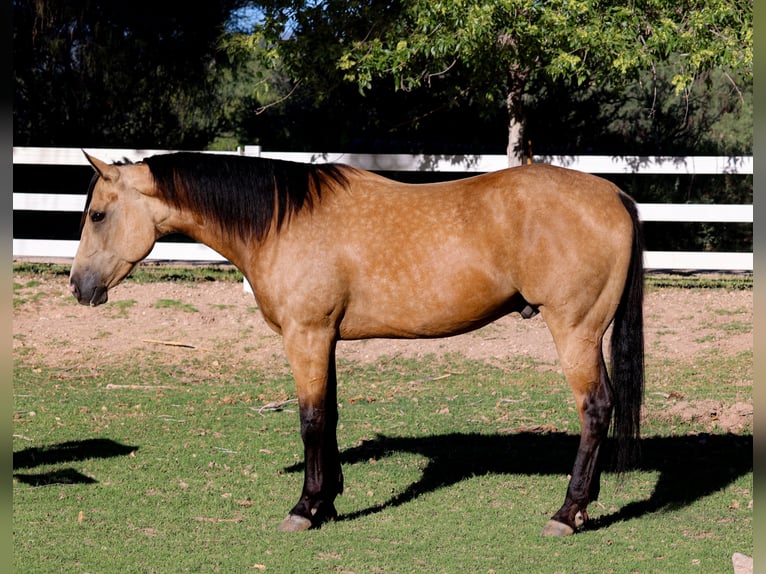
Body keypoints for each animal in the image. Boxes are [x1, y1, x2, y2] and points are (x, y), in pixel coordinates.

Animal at [73, 151, 648, 536]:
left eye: (97, 214)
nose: (79, 287)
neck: (283, 222)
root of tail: (614, 194)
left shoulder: (306, 335)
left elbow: (310, 420)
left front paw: (304, 509)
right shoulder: (324, 338)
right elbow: (329, 415)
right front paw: (327, 502)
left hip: (575, 330)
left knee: (596, 408)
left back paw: (568, 512)